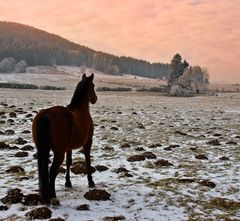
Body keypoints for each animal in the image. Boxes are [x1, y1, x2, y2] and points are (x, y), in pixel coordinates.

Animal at [32, 73, 97, 204]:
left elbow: (69, 162)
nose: (95, 99)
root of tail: (45, 115)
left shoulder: (68, 147)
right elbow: (87, 160)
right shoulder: (88, 143)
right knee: (52, 171)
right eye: (93, 86)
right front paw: (91, 182)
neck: (81, 110)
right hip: (58, 152)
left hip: (43, 149)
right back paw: (53, 196)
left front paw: (68, 182)